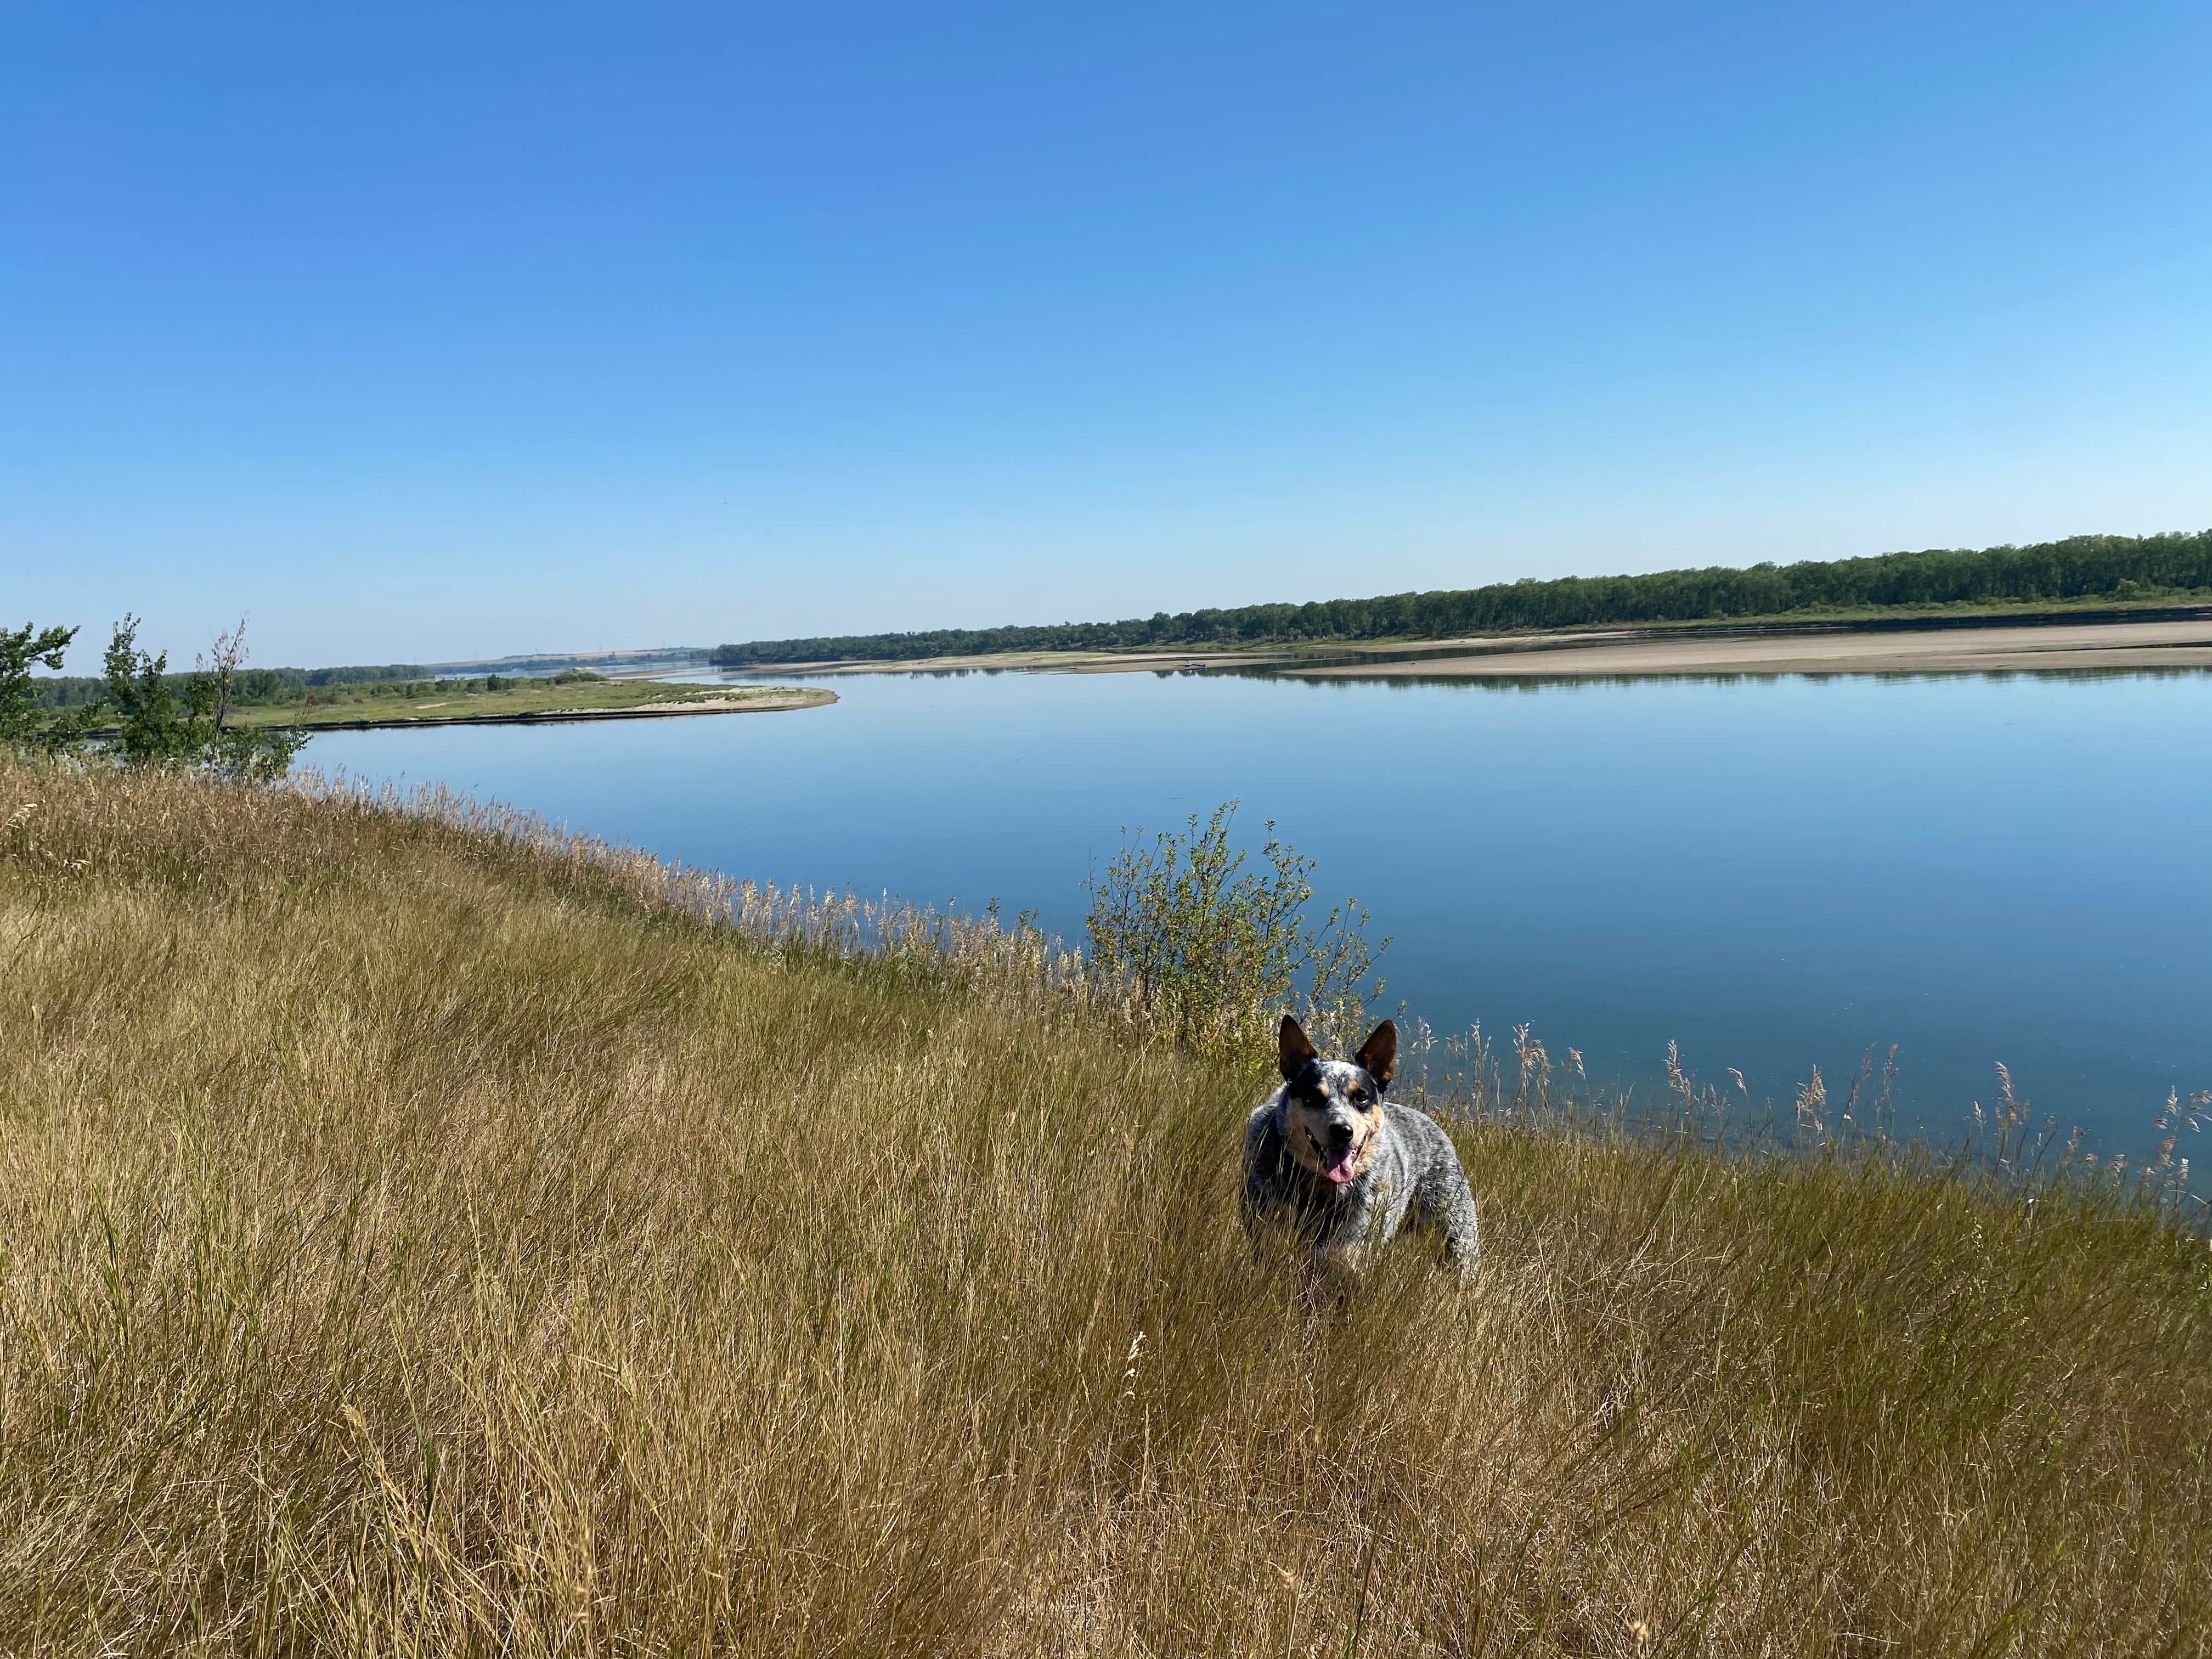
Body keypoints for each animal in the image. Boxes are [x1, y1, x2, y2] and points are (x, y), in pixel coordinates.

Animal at [1238, 1013, 1477, 1283]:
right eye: (1313, 1096)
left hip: (1457, 1234)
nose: (1343, 1131)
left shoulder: (1350, 1258)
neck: (1322, 1190)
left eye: (1361, 1097)